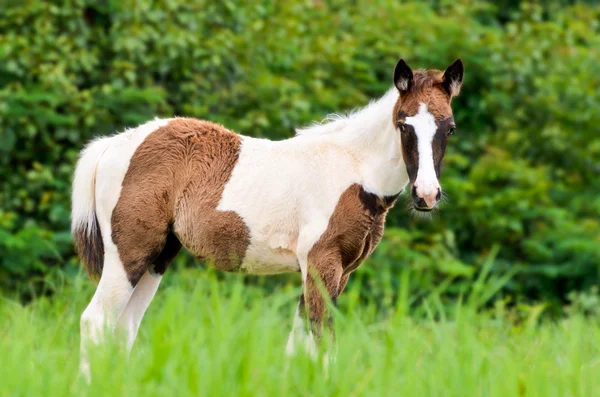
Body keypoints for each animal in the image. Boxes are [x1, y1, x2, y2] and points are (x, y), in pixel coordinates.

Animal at [71, 57, 464, 372]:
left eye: (450, 128)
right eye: (404, 124)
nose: (426, 195)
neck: (354, 170)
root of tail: (111, 145)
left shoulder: (337, 272)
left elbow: (297, 345)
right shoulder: (321, 262)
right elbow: (323, 343)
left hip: (158, 256)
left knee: (123, 328)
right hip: (129, 252)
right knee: (95, 321)